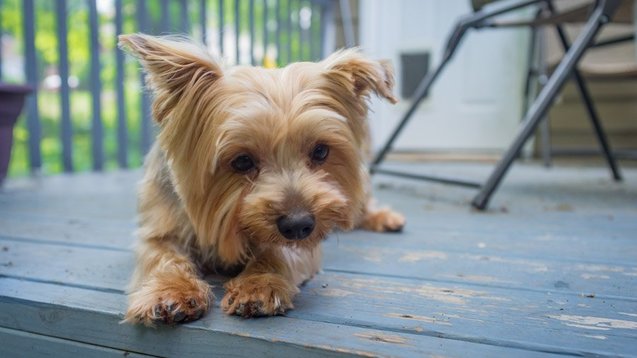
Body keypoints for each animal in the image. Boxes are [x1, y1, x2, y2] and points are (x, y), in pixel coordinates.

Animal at [118, 33, 404, 324]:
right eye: (242, 161)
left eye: (321, 151)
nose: (299, 224)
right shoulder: (159, 227)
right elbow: (162, 254)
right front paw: (169, 291)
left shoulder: (303, 244)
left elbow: (278, 250)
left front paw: (258, 285)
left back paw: (385, 218)